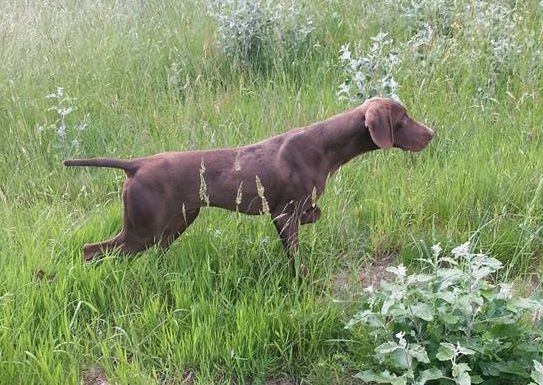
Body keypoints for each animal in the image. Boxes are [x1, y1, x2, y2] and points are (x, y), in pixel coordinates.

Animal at [63, 97, 434, 262]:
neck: (323, 146)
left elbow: (316, 214)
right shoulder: (284, 214)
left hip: (175, 223)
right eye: (403, 118)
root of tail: (135, 165)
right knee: (91, 250)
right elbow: (296, 258)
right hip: (142, 231)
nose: (432, 133)